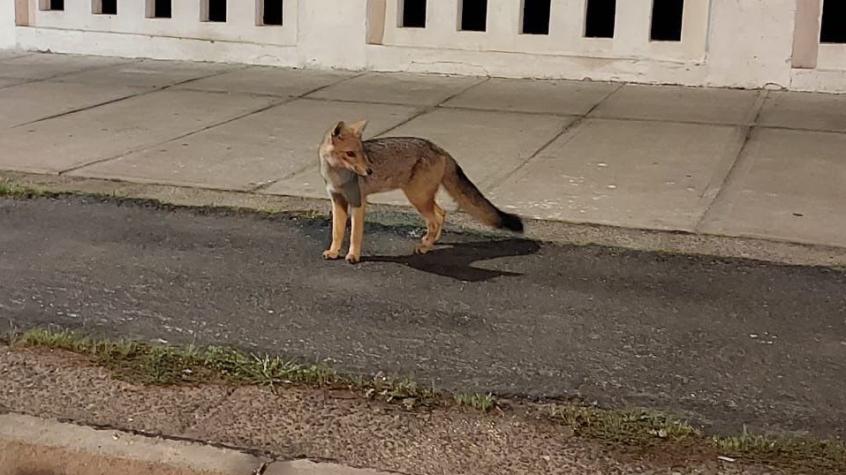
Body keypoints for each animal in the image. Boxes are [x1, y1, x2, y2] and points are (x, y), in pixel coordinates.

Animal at [318, 120, 524, 264]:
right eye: (350, 153)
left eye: (362, 153)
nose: (369, 171)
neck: (338, 177)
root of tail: (439, 148)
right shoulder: (337, 201)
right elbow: (337, 232)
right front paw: (334, 252)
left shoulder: (358, 202)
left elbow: (354, 235)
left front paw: (353, 256)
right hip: (422, 198)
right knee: (441, 214)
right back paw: (431, 241)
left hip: (417, 198)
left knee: (435, 219)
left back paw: (425, 247)